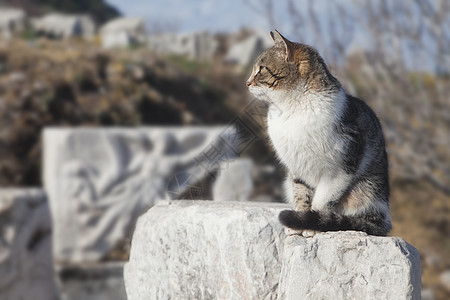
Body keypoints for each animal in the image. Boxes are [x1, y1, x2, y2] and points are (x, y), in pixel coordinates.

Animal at [246, 30, 390, 237]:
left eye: (261, 69)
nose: (246, 82)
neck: (292, 110)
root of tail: (385, 220)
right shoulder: (297, 167)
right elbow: (301, 196)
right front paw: (297, 224)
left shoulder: (340, 171)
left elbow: (322, 202)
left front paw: (310, 226)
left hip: (367, 191)